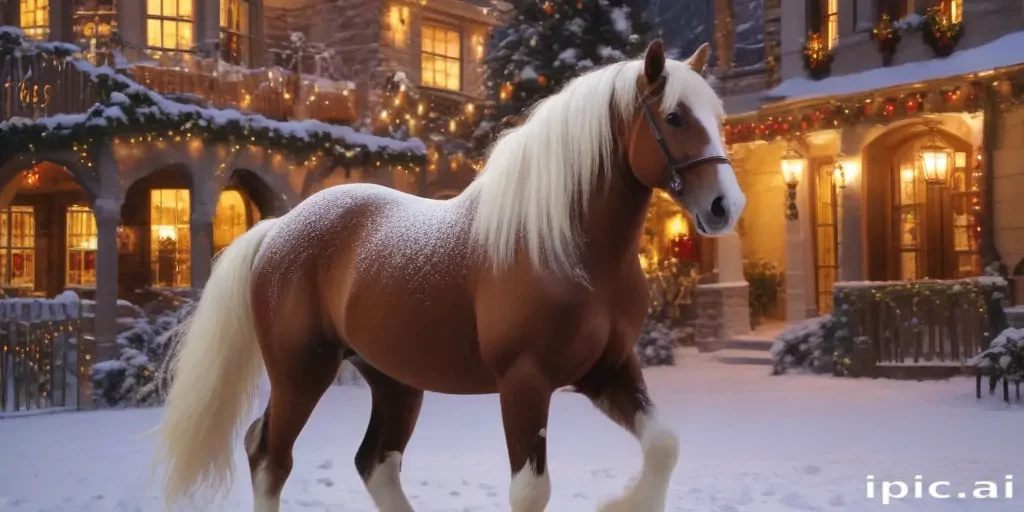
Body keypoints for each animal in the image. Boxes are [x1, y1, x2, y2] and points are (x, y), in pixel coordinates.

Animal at [155, 39, 745, 512]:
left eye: (716, 115)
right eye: (674, 117)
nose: (725, 206)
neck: (566, 247)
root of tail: (277, 229)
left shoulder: (609, 370)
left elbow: (664, 446)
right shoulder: (525, 382)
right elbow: (530, 490)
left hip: (393, 382)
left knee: (374, 463)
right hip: (302, 372)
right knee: (270, 459)